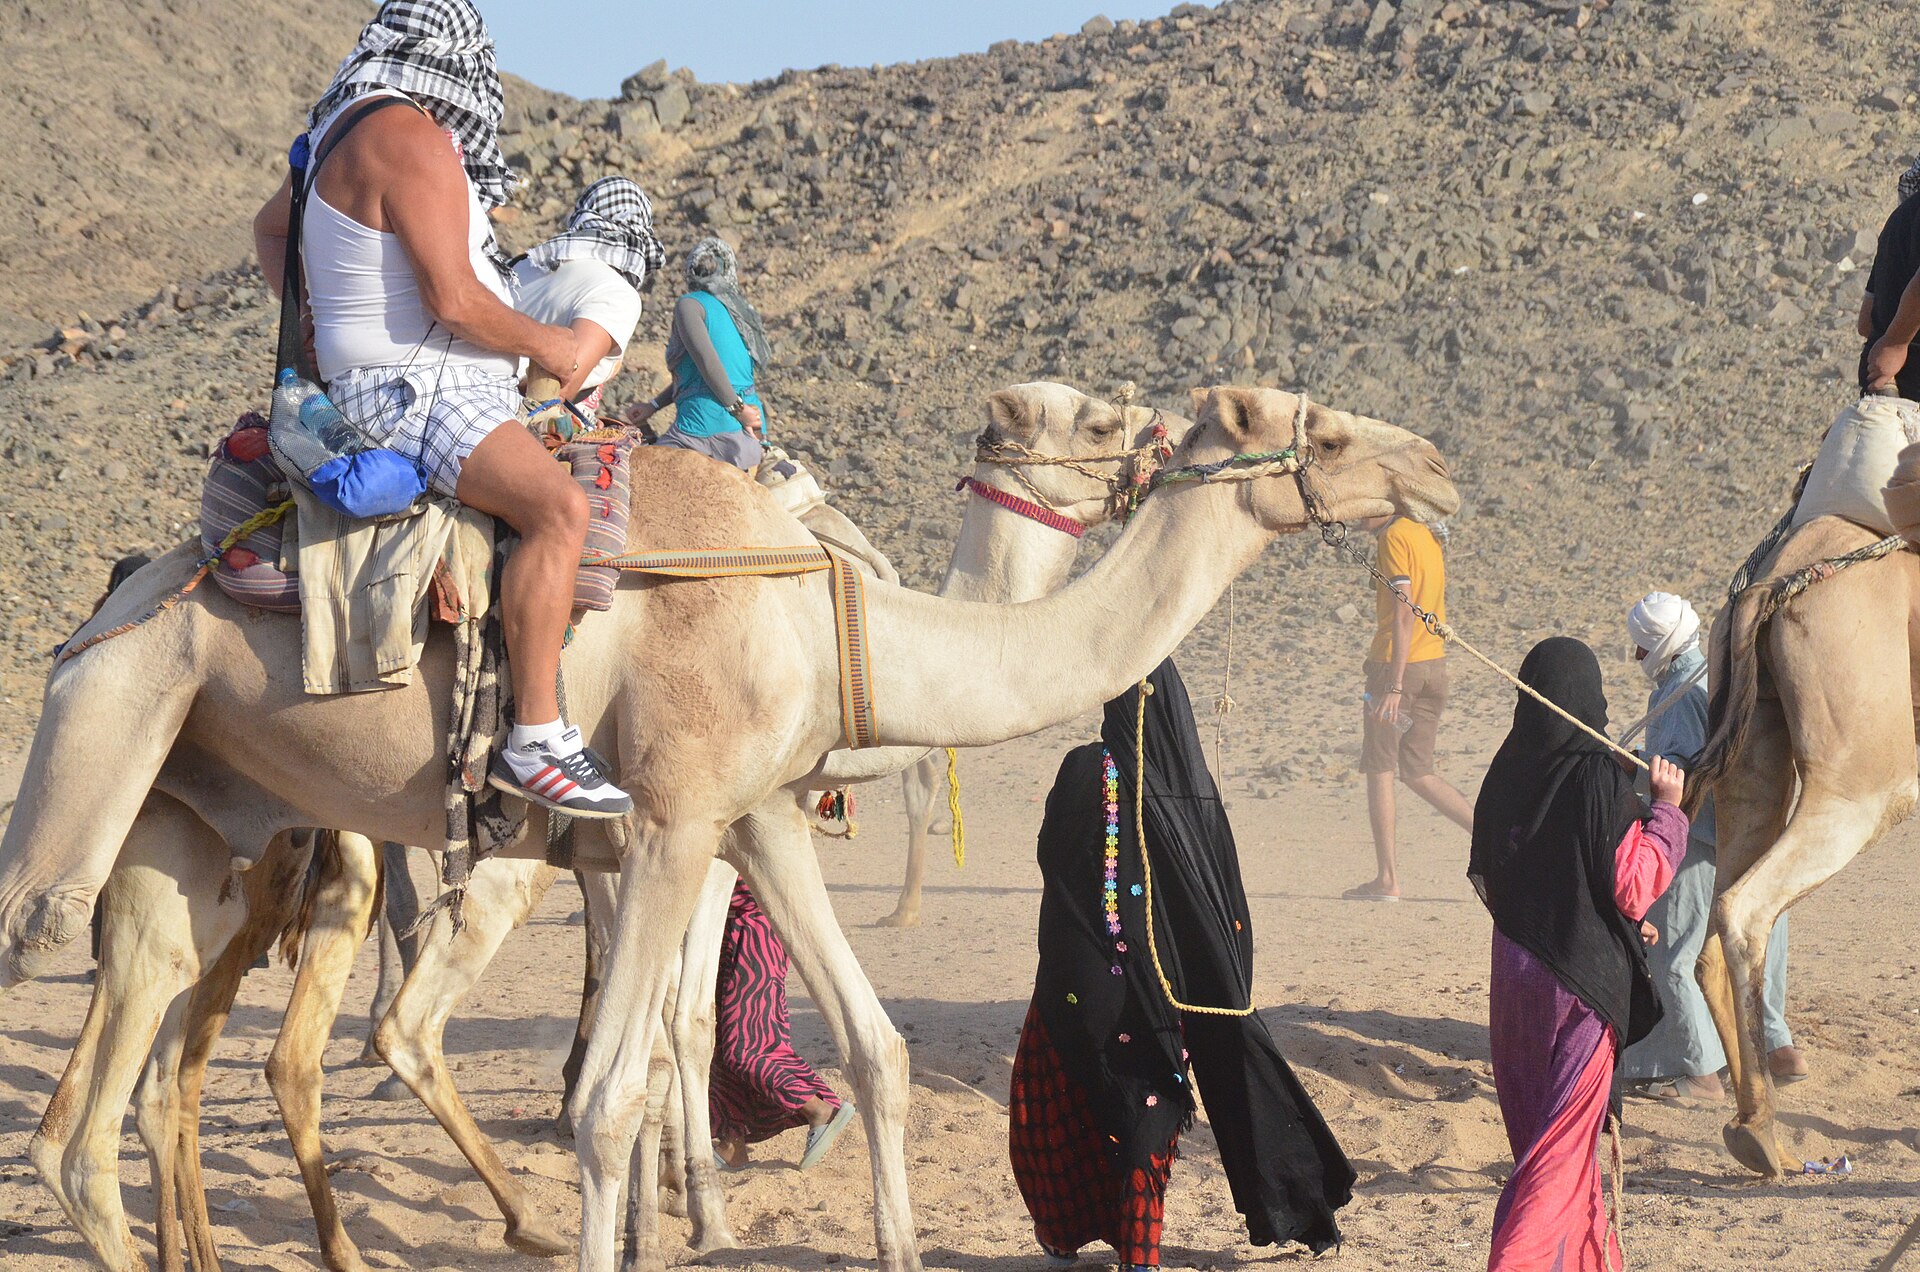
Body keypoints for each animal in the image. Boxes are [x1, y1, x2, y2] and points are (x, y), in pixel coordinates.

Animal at [0, 384, 1455, 1272]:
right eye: (1325, 436)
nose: (1436, 467)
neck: (837, 619)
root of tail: (116, 597)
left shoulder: (763, 819)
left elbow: (866, 1046)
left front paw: (862, 1235)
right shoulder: (671, 823)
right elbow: (618, 1085)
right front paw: (672, 1221)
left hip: (194, 829)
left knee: (115, 1092)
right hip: (107, 740)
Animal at [1690, 513, 1920, 1178]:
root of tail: (1771, 586)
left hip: (1751, 743)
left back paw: (1753, 1129)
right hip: (1864, 781)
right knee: (1746, 908)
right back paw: (1764, 1132)